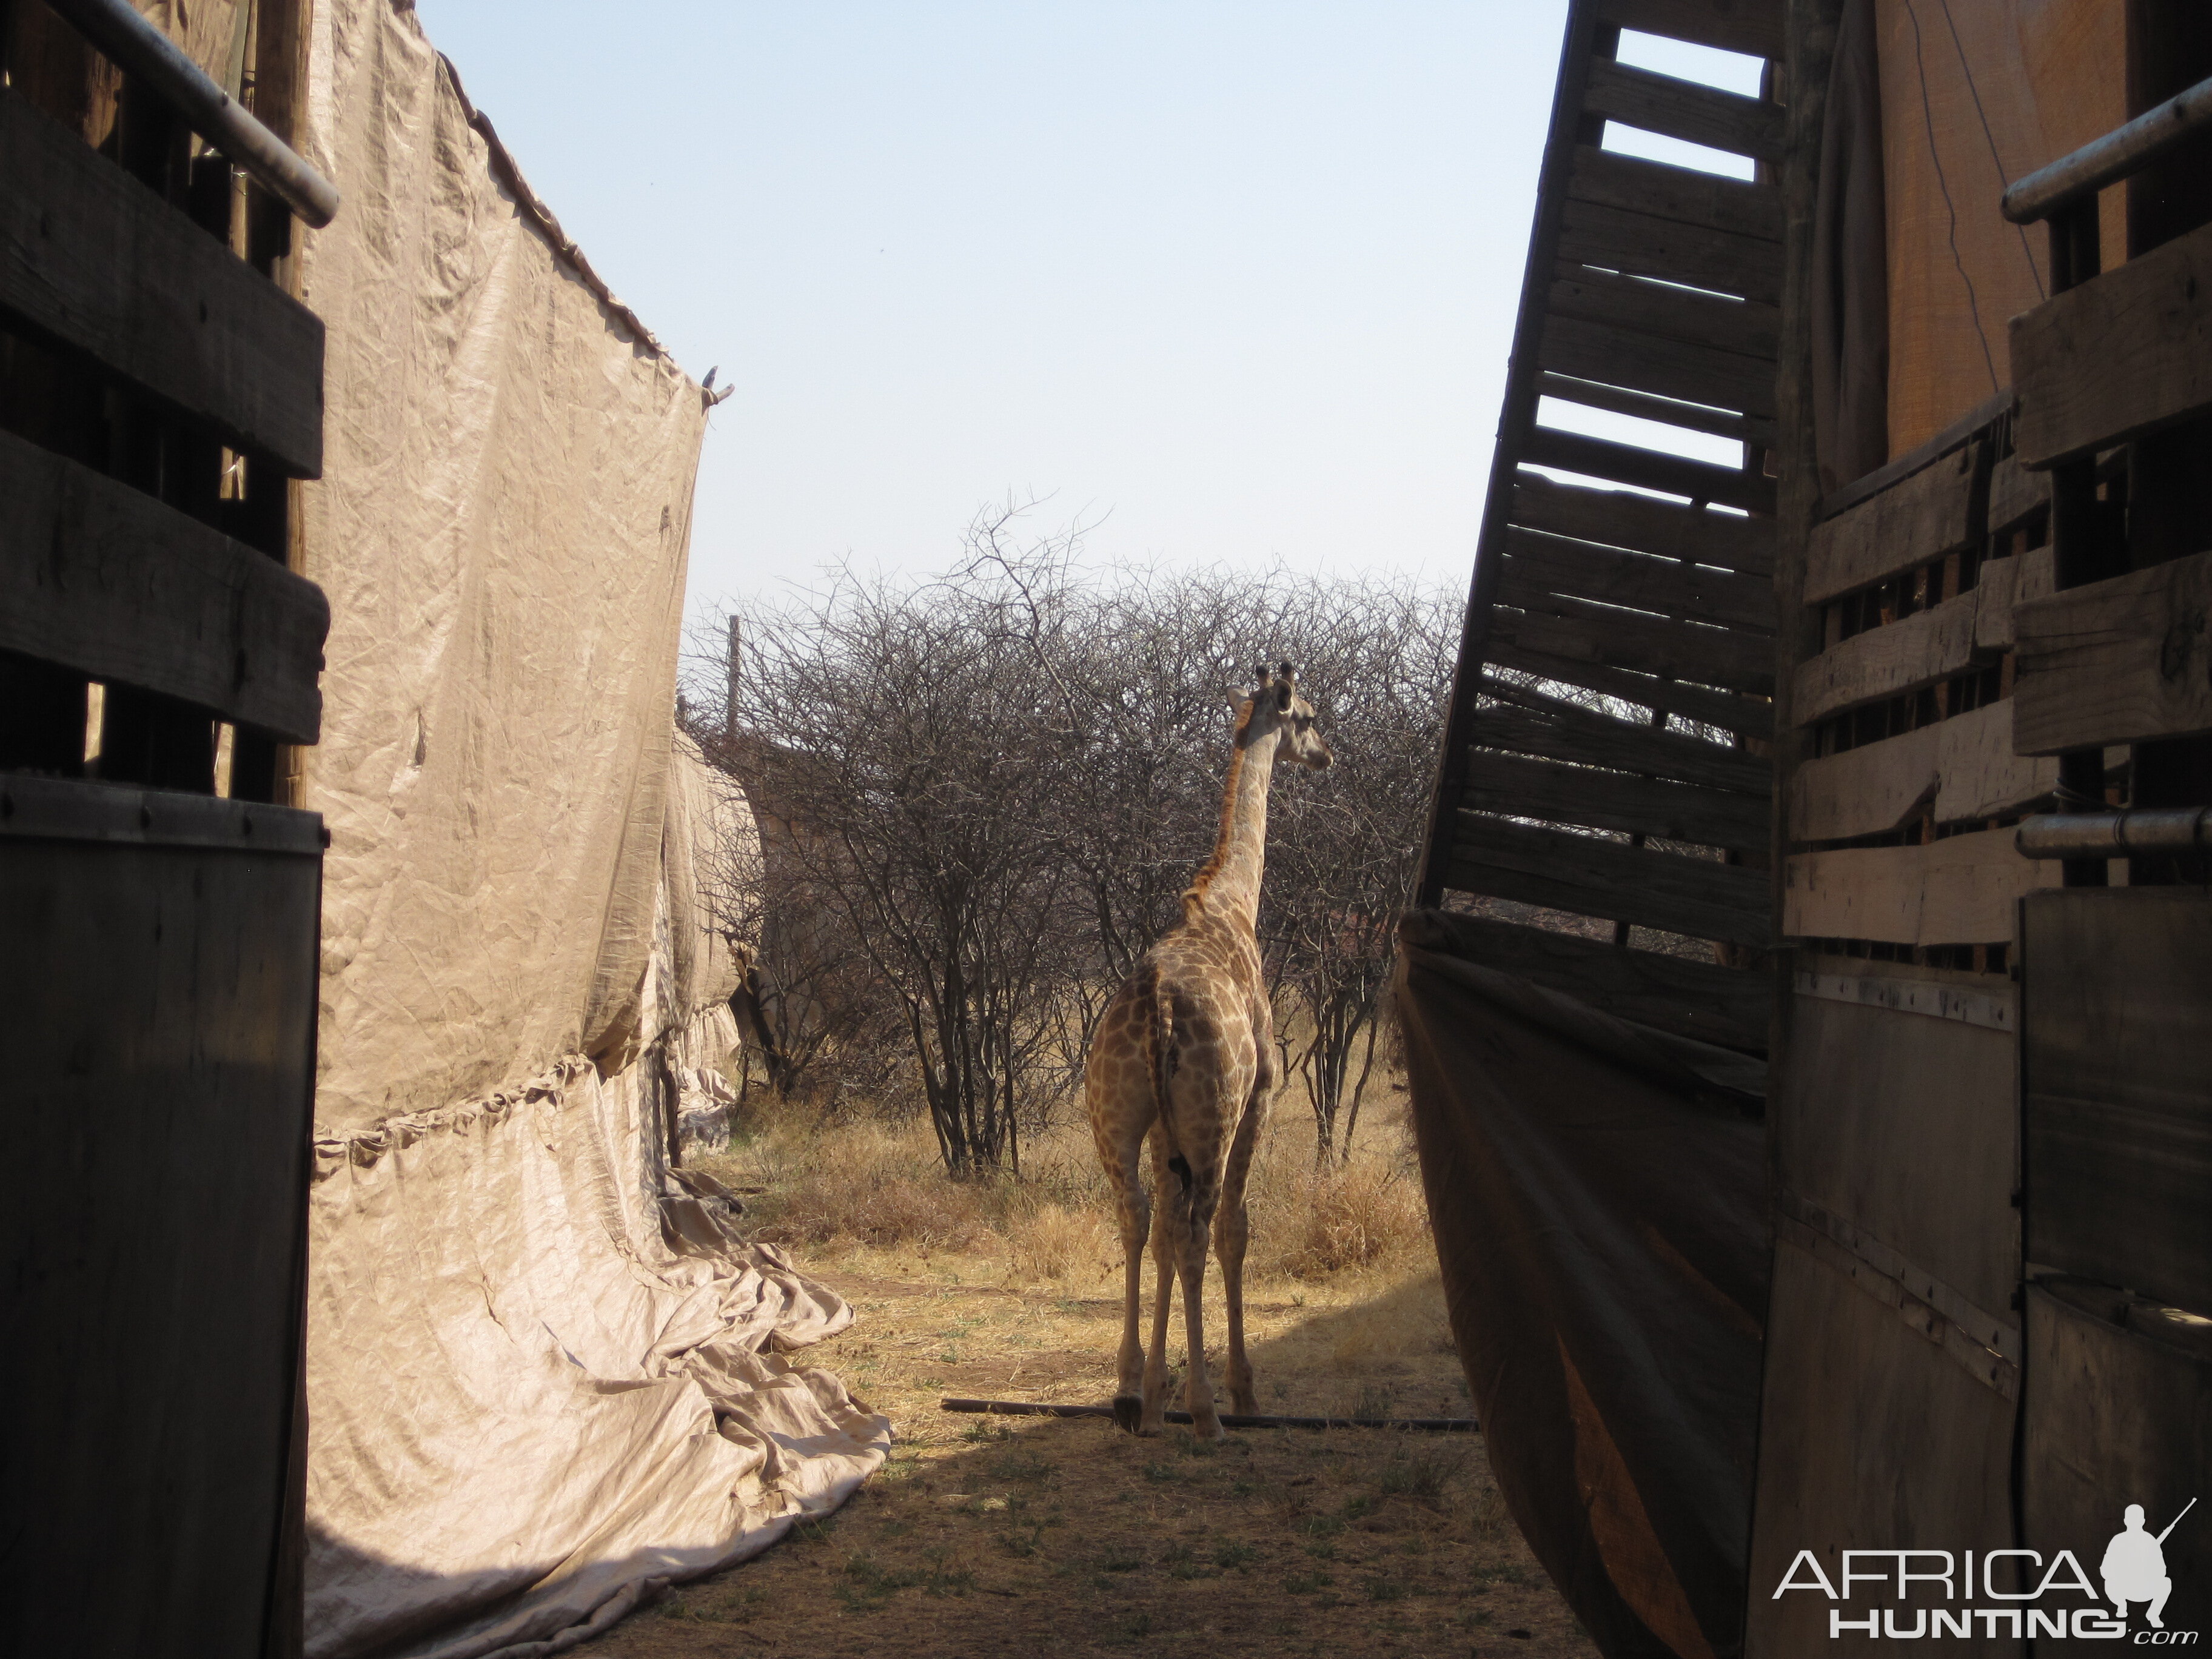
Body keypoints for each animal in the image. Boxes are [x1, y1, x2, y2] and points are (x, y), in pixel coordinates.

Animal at [1074, 663, 1318, 1442]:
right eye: (1307, 716)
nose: (1326, 754)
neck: (1232, 902)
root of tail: (1155, 1003)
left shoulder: (1158, 1127)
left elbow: (1154, 1238)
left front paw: (1151, 1390)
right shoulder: (1262, 1095)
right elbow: (1237, 1231)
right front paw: (1243, 1391)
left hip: (1113, 1117)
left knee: (1137, 1219)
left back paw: (1129, 1392)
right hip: (1214, 1118)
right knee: (1200, 1230)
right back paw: (1208, 1409)